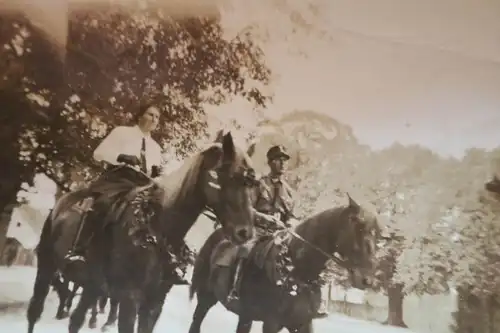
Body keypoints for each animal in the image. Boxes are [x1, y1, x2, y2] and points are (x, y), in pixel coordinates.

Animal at [26, 130, 258, 332]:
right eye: (229, 176)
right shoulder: (130, 298)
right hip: (47, 265)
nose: (245, 232)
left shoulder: (155, 302)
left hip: (92, 286)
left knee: (76, 320)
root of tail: (61, 204)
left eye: (250, 183)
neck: (157, 230)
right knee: (35, 311)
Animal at [188, 195, 382, 332]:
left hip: (245, 316)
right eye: (359, 227)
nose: (367, 279)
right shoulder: (271, 323)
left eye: (377, 234)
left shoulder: (303, 324)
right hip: (205, 298)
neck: (296, 271)